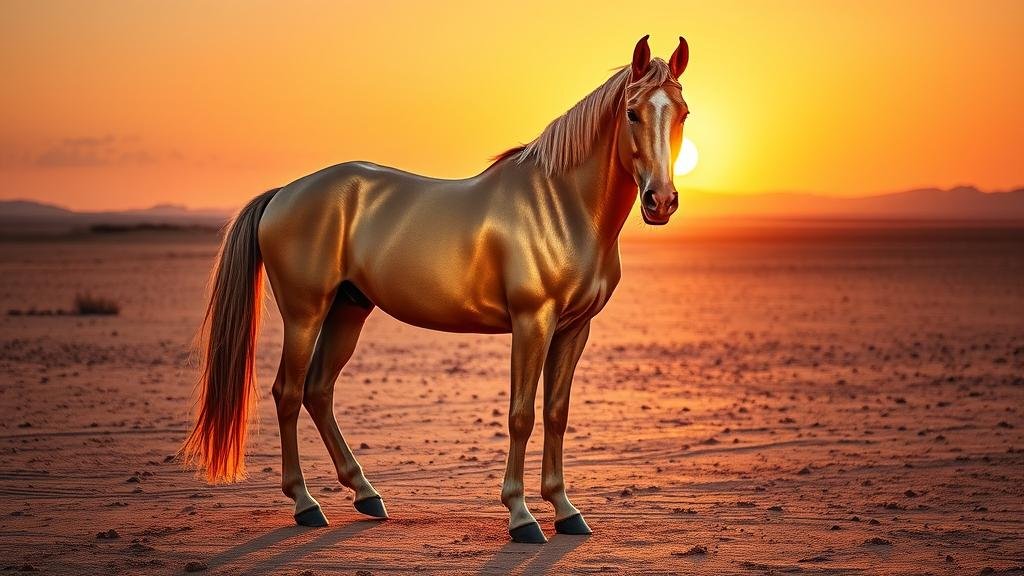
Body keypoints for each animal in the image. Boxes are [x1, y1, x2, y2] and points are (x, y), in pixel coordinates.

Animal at [181, 35, 690, 544]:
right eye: (632, 113)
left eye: (683, 113)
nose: (661, 201)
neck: (562, 205)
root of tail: (284, 193)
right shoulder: (532, 323)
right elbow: (521, 415)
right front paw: (521, 515)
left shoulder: (574, 328)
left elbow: (556, 414)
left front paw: (565, 510)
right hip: (305, 313)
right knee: (288, 393)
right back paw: (306, 504)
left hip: (349, 309)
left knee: (319, 391)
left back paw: (366, 495)